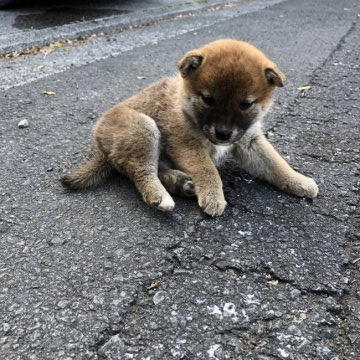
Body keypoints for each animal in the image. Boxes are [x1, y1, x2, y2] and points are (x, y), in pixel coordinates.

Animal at [61, 38, 318, 217]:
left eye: (246, 104)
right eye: (208, 99)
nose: (223, 133)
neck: (186, 107)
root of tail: (97, 141)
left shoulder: (248, 140)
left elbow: (275, 163)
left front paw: (299, 181)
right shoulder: (186, 143)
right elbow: (207, 169)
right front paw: (214, 195)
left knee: (150, 169)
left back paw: (180, 184)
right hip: (143, 128)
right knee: (141, 173)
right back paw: (161, 197)